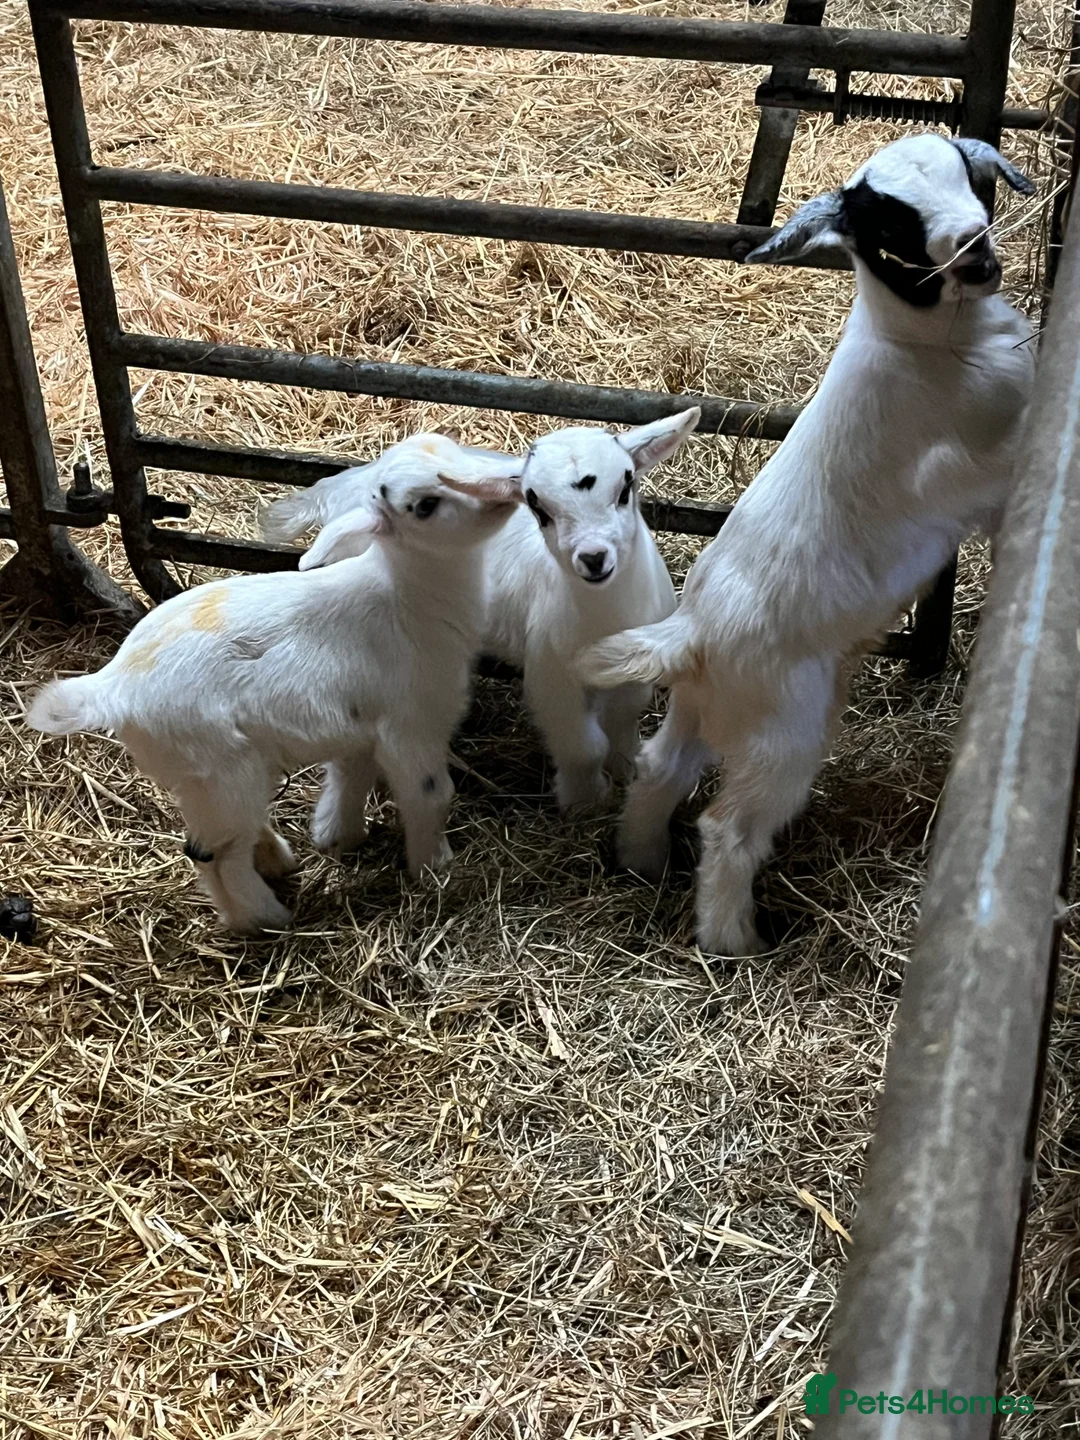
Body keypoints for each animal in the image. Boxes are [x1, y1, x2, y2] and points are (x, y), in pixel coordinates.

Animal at [27, 438, 524, 934]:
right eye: (425, 506)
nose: (512, 483)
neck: (405, 594)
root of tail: (112, 688)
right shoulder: (413, 724)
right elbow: (432, 794)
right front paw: (435, 868)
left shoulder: (361, 723)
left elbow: (350, 776)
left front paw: (339, 836)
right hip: (221, 770)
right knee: (214, 856)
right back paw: (265, 915)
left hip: (208, 779)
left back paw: (274, 862)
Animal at [264, 410, 700, 811]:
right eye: (538, 508)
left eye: (625, 488)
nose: (593, 558)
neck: (607, 613)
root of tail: (348, 483)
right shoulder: (551, 678)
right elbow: (583, 746)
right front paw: (584, 801)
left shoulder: (633, 671)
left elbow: (623, 719)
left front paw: (625, 768)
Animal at [579, 134, 1035, 955]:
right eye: (891, 225)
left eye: (969, 178)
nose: (974, 253)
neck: (928, 342)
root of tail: (691, 634)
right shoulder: (976, 469)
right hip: (781, 733)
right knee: (729, 828)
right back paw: (735, 942)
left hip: (708, 705)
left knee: (661, 768)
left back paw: (641, 861)